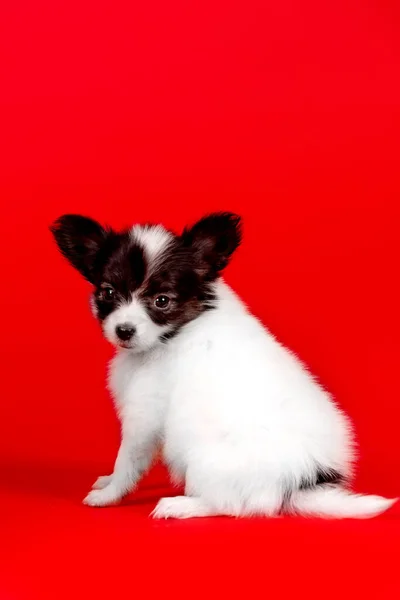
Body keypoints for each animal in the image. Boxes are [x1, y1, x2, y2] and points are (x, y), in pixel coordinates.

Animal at [49, 213, 394, 516]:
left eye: (162, 301)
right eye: (108, 293)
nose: (124, 330)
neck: (172, 336)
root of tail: (301, 480)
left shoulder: (144, 415)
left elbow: (128, 459)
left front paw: (108, 494)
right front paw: (107, 481)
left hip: (204, 459)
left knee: (230, 505)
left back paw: (179, 507)